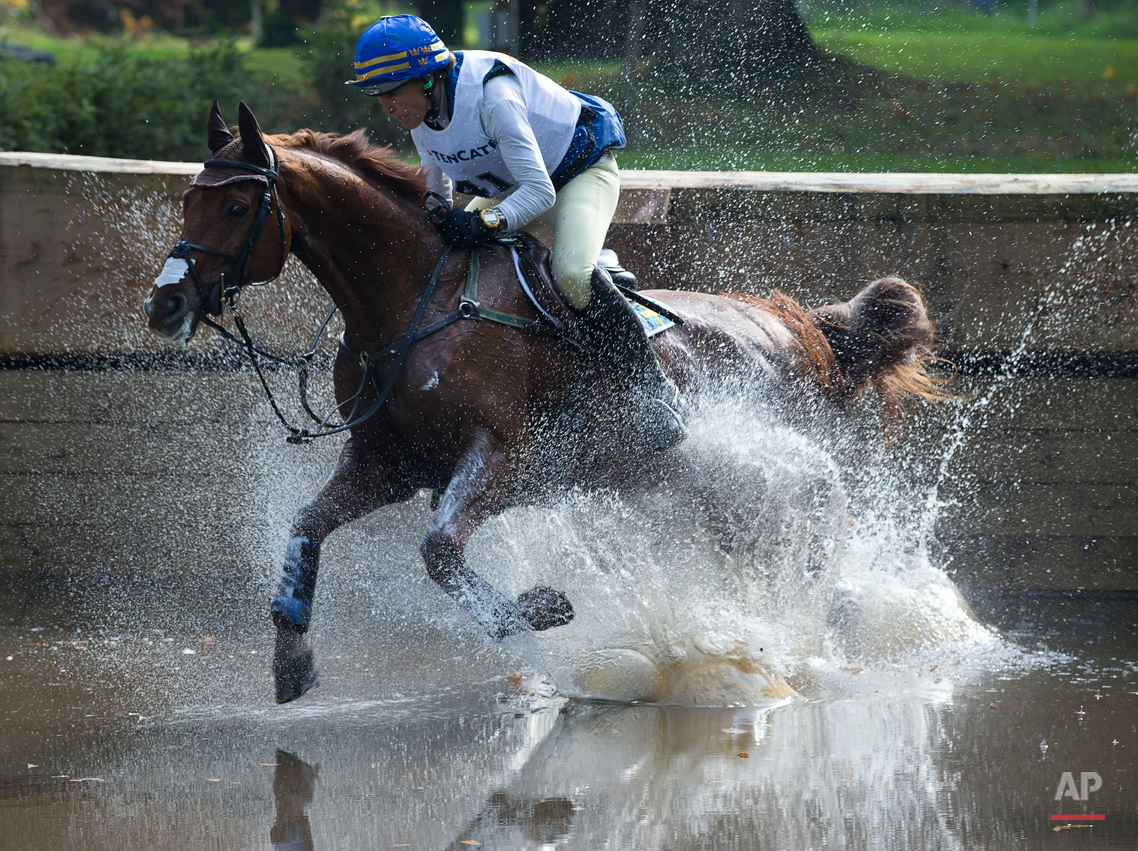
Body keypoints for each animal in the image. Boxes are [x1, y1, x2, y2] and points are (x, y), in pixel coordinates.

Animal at [142, 102, 942, 700]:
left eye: (238, 204)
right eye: (186, 200)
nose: (165, 303)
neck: (415, 299)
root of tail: (802, 328)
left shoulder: (498, 456)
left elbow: (439, 552)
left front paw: (538, 608)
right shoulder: (389, 463)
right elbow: (307, 528)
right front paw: (291, 658)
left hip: (770, 475)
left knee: (807, 551)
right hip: (707, 491)